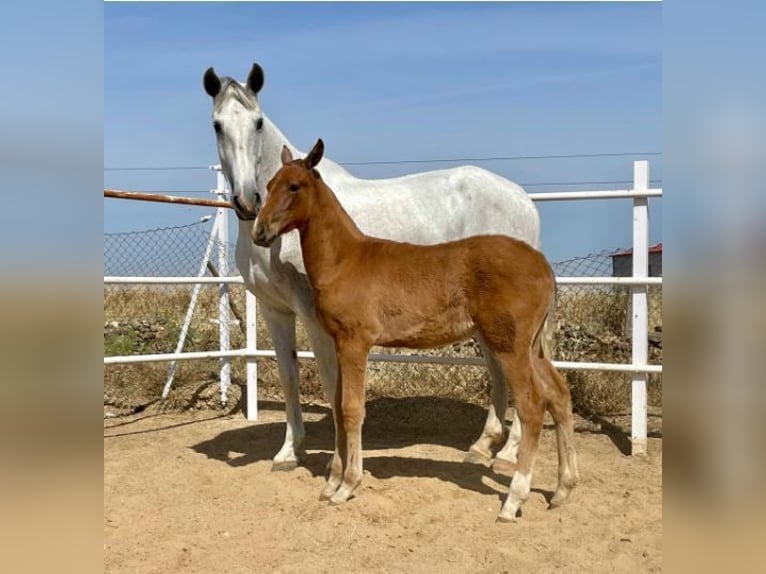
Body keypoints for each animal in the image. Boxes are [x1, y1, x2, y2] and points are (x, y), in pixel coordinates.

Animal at [255, 141, 580, 528]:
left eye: (294, 187)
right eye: (269, 184)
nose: (260, 232)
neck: (346, 260)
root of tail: (542, 264)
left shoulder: (355, 343)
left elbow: (352, 409)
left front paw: (347, 486)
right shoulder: (338, 344)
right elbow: (336, 403)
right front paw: (332, 480)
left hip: (510, 346)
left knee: (532, 406)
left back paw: (513, 499)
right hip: (532, 348)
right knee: (559, 395)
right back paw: (562, 489)